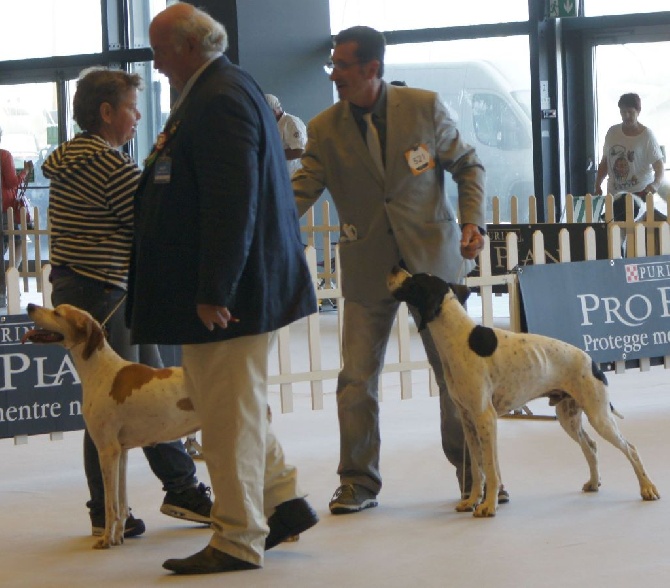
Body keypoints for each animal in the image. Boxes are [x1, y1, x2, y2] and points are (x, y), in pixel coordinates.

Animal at [22, 306, 201, 548]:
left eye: (58, 313)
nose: (30, 306)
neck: (100, 369)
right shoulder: (121, 451)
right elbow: (122, 503)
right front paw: (118, 536)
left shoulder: (107, 451)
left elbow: (110, 505)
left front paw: (106, 538)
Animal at [388, 268, 660, 516]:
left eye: (413, 281)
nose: (394, 267)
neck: (459, 339)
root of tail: (592, 361)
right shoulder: (469, 420)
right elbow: (477, 468)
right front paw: (472, 501)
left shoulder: (485, 418)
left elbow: (490, 468)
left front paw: (488, 506)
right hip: (568, 418)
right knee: (591, 446)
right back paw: (594, 483)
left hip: (599, 416)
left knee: (631, 448)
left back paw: (647, 488)